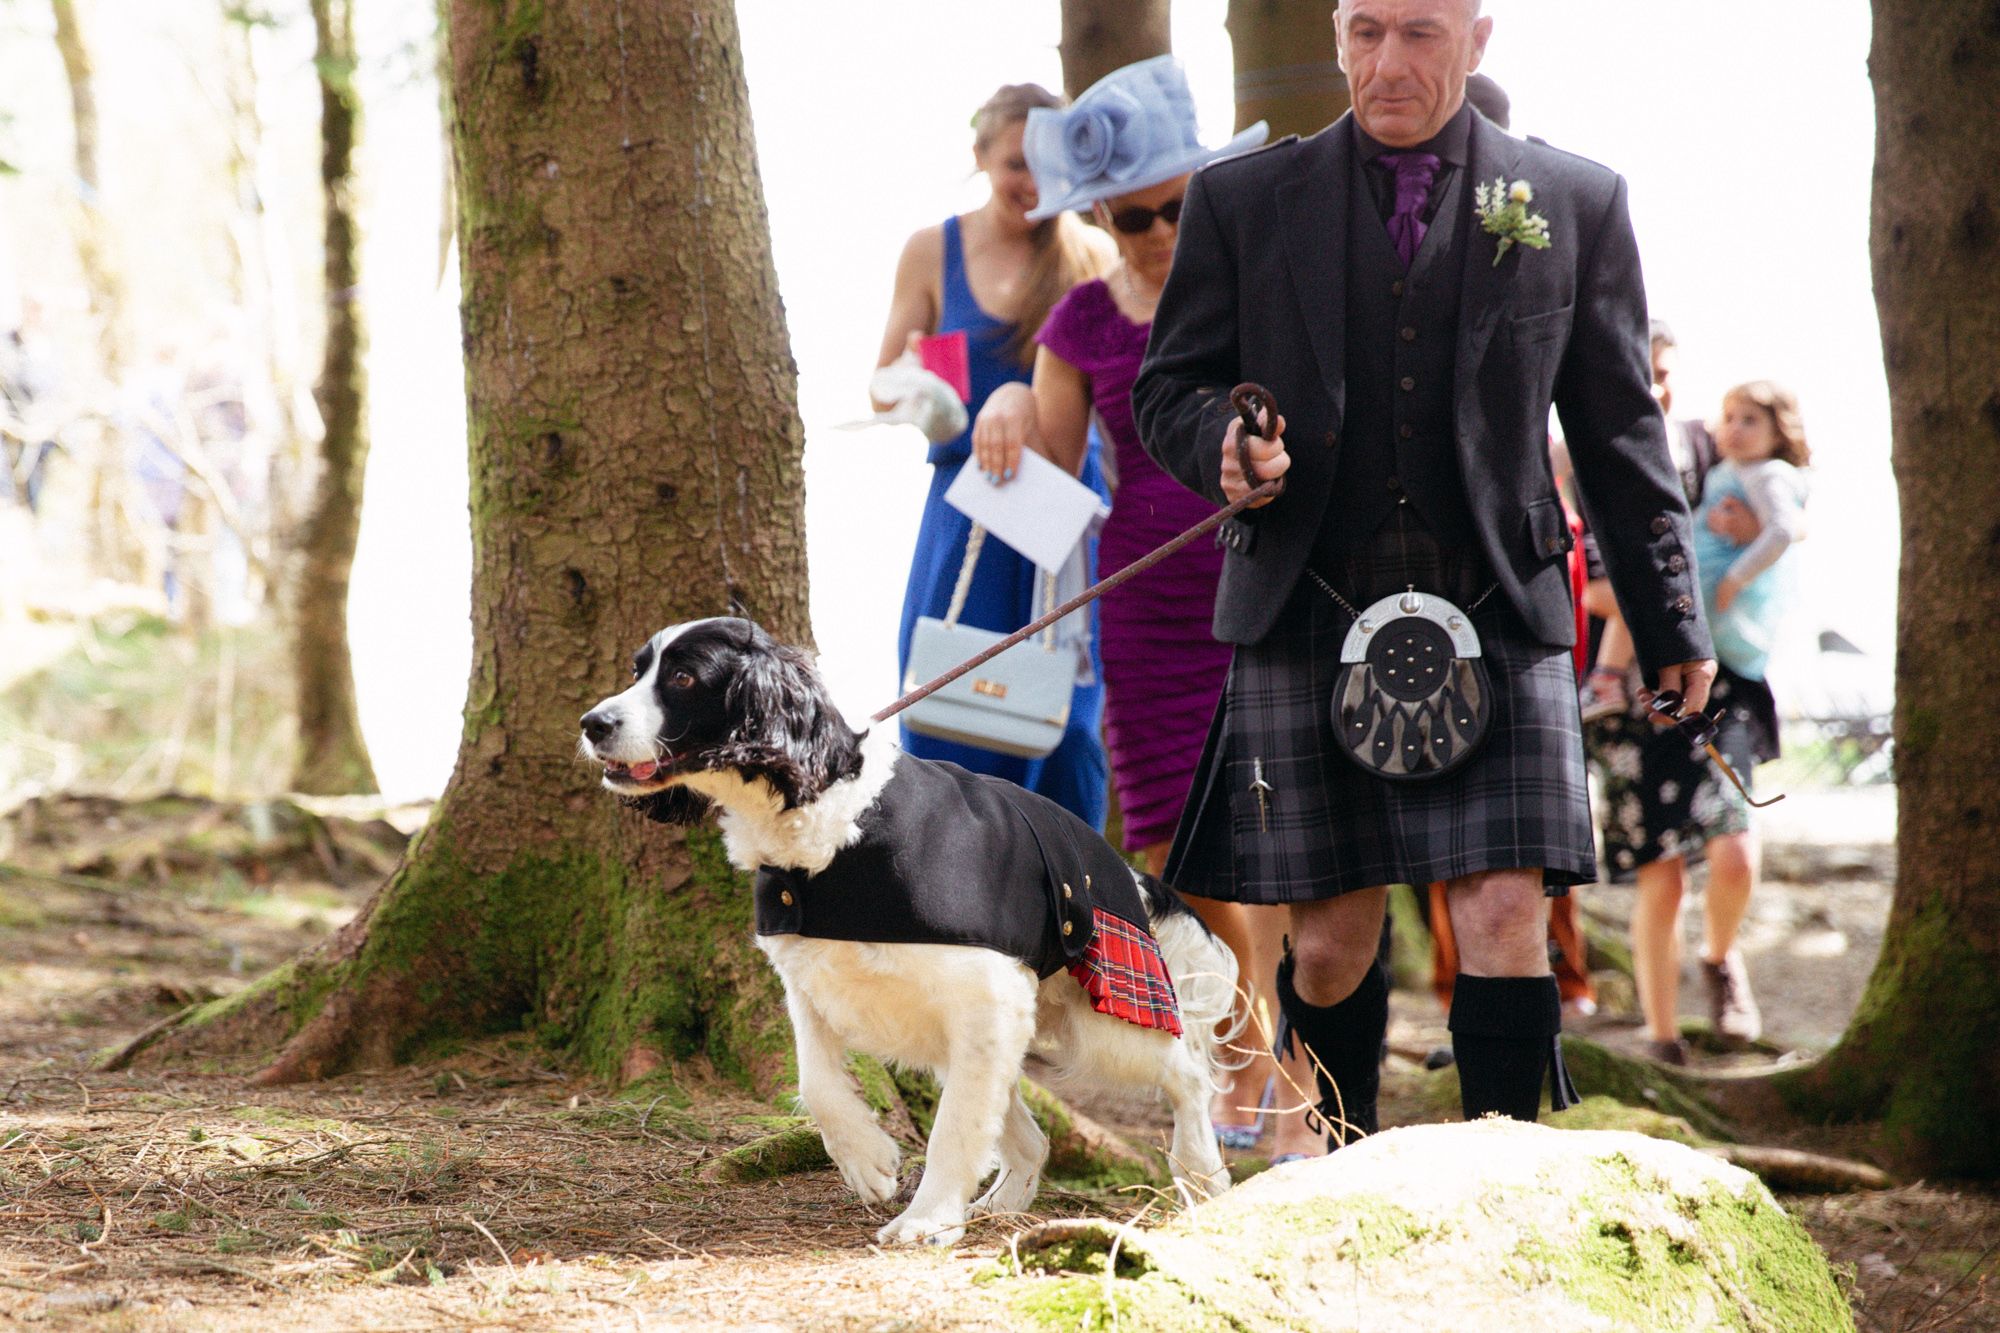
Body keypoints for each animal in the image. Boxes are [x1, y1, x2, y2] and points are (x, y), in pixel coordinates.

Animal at [580, 616, 1232, 1240]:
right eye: (638, 670)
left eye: (684, 677)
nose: (591, 723)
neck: (838, 825)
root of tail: (1126, 871)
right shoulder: (811, 977)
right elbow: (816, 1081)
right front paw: (867, 1163)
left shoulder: (988, 996)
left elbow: (955, 1126)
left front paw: (927, 1219)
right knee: (1032, 1135)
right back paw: (1003, 1205)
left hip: (1100, 1025)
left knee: (1188, 1075)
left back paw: (1203, 1175)